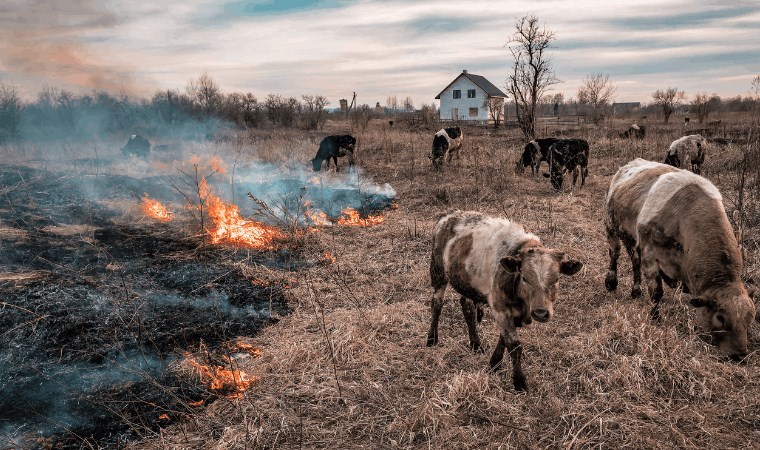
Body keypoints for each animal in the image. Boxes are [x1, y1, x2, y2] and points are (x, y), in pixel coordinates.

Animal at [428, 211, 580, 390]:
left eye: (556, 279)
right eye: (524, 277)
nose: (541, 313)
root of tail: (449, 216)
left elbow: (503, 339)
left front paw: (494, 363)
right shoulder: (500, 307)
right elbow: (514, 344)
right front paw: (519, 381)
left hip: (466, 281)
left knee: (467, 307)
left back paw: (475, 344)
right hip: (438, 272)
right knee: (437, 304)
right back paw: (431, 339)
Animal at [604, 157, 756, 358]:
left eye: (750, 317)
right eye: (720, 317)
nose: (739, 354)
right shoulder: (650, 255)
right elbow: (656, 293)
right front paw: (655, 318)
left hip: (632, 239)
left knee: (634, 261)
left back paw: (636, 290)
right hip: (611, 227)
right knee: (614, 254)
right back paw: (611, 282)